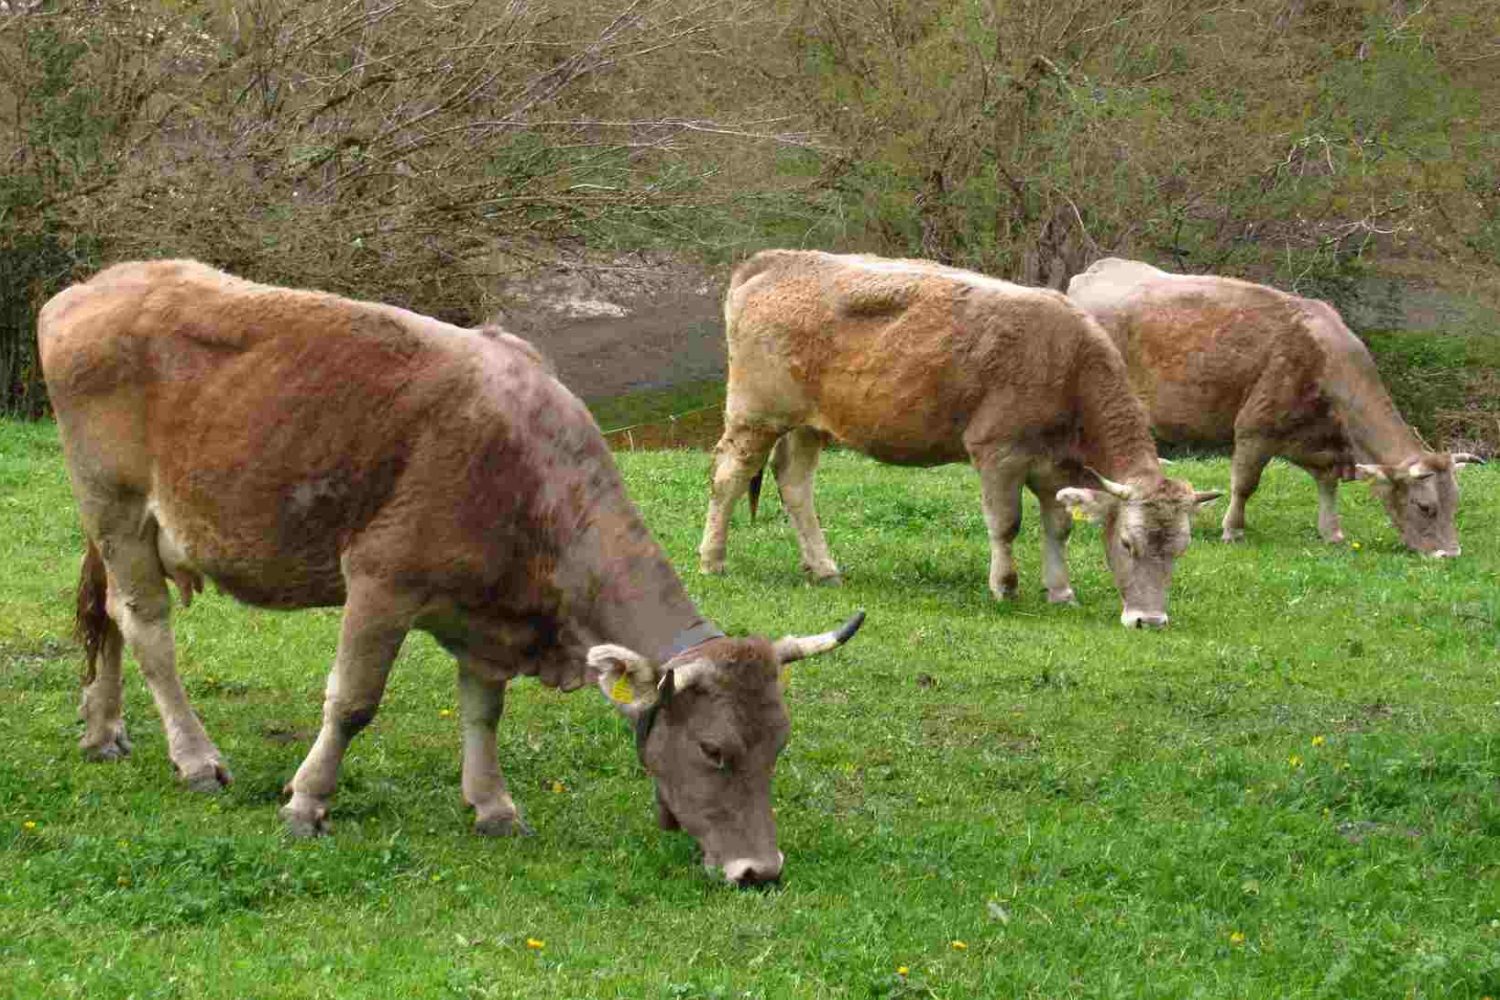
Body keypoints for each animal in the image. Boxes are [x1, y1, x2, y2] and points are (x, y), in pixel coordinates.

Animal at [41, 262, 864, 887]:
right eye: (714, 750)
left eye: (778, 747)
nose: (760, 870)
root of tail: (91, 287)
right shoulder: (381, 581)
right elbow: (353, 703)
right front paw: (307, 802)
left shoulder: (487, 615)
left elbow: (483, 710)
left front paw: (493, 805)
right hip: (116, 508)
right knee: (148, 628)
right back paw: (196, 758)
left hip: (115, 526)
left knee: (106, 613)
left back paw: (103, 729)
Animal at [696, 248, 1224, 626]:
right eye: (1129, 545)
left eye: (1180, 549)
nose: (1149, 620)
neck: (1068, 363)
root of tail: (775, 259)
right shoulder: (998, 452)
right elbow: (1006, 524)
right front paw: (1005, 587)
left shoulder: (1057, 467)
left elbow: (1058, 526)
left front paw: (1061, 591)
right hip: (756, 414)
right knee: (729, 476)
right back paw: (713, 560)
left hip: (809, 424)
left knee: (794, 484)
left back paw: (824, 568)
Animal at [1074, 257, 1482, 554]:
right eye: (1425, 507)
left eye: (1455, 504)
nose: (1450, 555)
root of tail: (1097, 269)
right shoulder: (1255, 428)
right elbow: (1244, 484)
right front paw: (1233, 531)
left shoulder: (1316, 439)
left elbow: (1327, 483)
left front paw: (1331, 532)